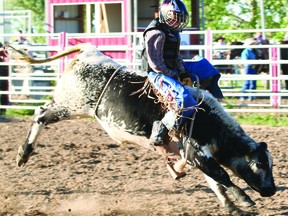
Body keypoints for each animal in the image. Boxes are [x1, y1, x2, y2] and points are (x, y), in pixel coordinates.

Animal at [11, 43, 276, 214]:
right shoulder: (195, 152)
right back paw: (23, 153)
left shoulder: (194, 156)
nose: (272, 190)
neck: (207, 119)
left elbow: (215, 182)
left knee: (41, 113)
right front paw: (244, 199)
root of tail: (89, 51)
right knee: (40, 114)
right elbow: (222, 175)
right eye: (261, 163)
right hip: (71, 104)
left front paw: (232, 207)